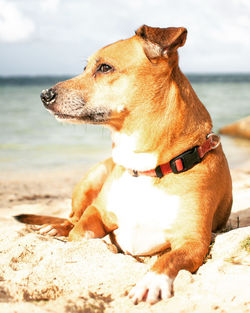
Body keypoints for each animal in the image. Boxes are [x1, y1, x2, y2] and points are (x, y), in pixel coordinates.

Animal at [17, 25, 232, 304]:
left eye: (105, 68)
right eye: (85, 67)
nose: (45, 95)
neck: (146, 169)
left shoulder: (194, 241)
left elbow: (169, 259)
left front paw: (151, 281)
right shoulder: (97, 211)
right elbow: (81, 232)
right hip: (92, 178)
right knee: (72, 217)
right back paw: (55, 228)